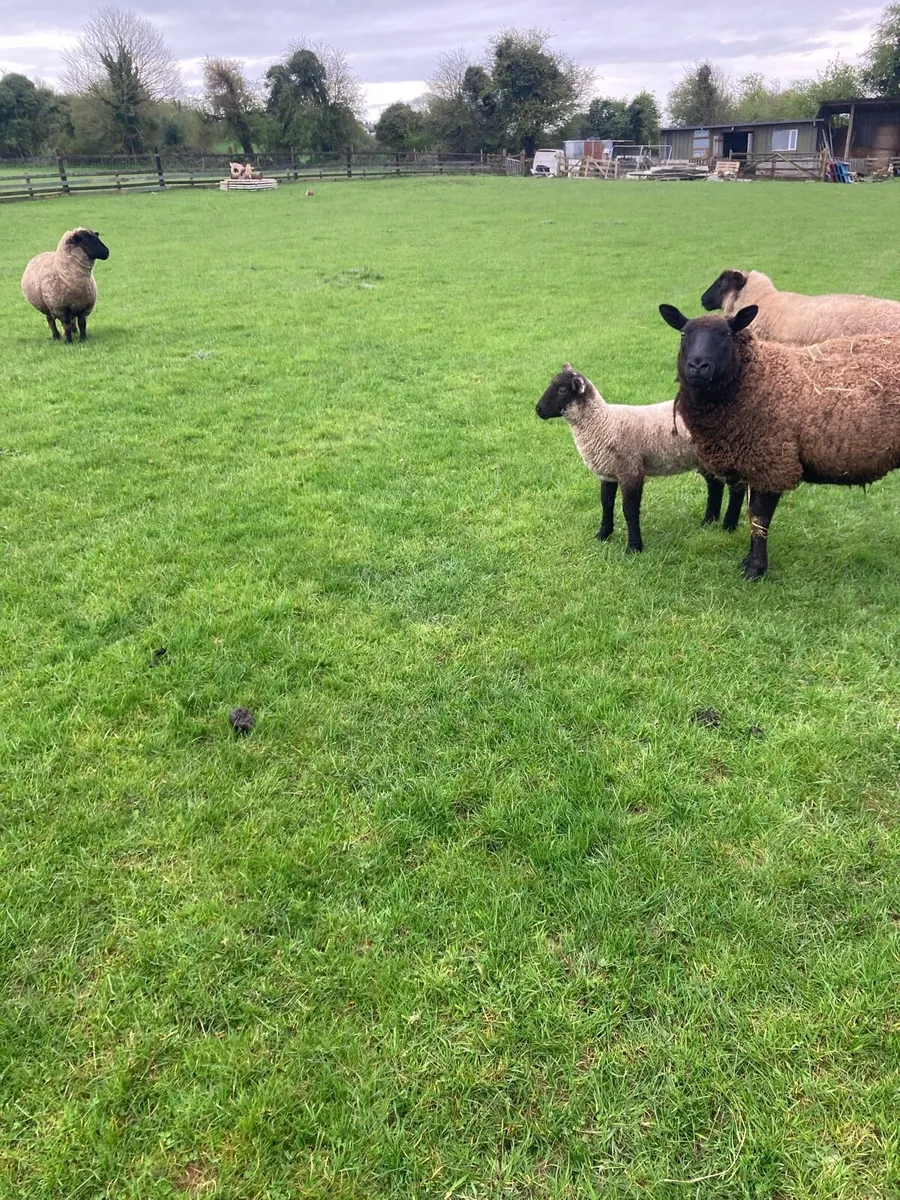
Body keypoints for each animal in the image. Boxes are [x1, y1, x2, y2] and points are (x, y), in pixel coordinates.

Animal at [536, 364, 745, 553]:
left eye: (562, 390)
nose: (538, 410)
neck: (603, 423)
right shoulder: (608, 473)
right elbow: (606, 503)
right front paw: (603, 535)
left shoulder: (631, 470)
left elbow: (629, 510)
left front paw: (634, 547)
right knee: (715, 486)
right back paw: (708, 522)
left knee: (737, 489)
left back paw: (728, 526)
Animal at [659, 302, 900, 580]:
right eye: (683, 335)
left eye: (726, 335)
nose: (698, 366)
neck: (757, 377)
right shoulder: (753, 463)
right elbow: (751, 513)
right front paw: (749, 560)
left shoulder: (771, 462)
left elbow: (759, 518)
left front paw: (755, 569)